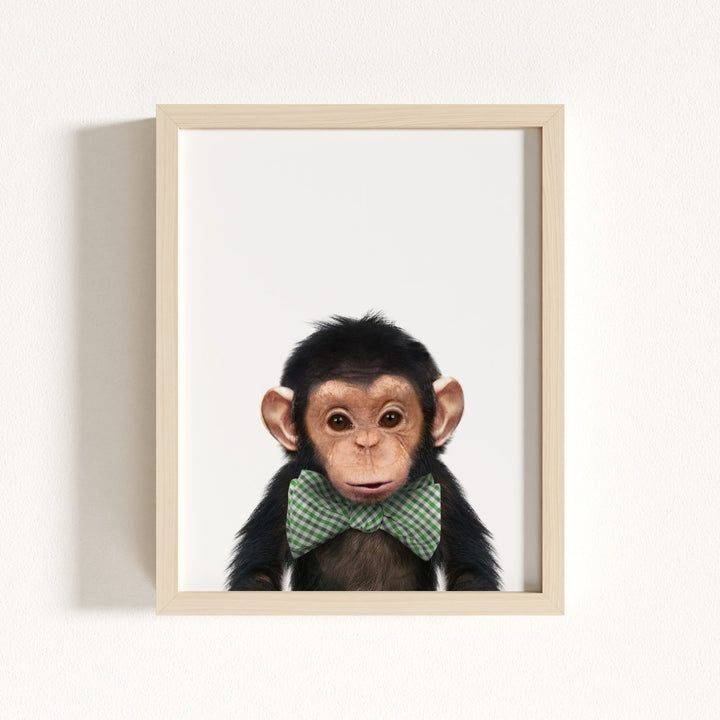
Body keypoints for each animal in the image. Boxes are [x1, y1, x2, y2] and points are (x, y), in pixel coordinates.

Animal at [226, 313, 500, 591]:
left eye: (390, 418)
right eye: (338, 422)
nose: (367, 444)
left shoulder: (446, 489)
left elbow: (468, 572)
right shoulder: (282, 491)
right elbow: (259, 573)